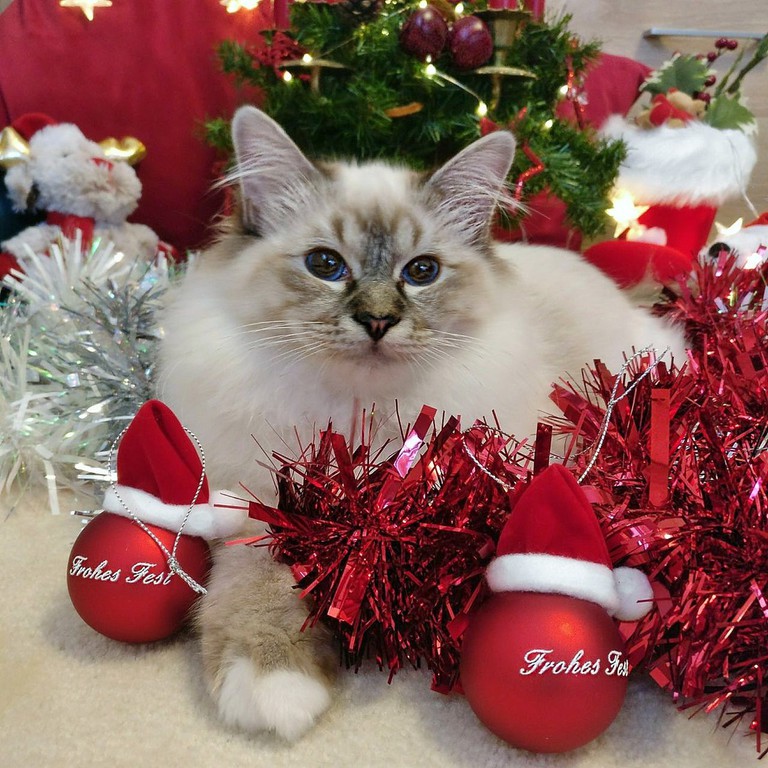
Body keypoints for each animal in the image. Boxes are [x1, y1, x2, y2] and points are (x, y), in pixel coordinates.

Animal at [156, 105, 686, 740]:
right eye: (325, 265)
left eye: (422, 271)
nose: (378, 321)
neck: (357, 420)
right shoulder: (252, 502)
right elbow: (252, 588)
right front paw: (272, 684)